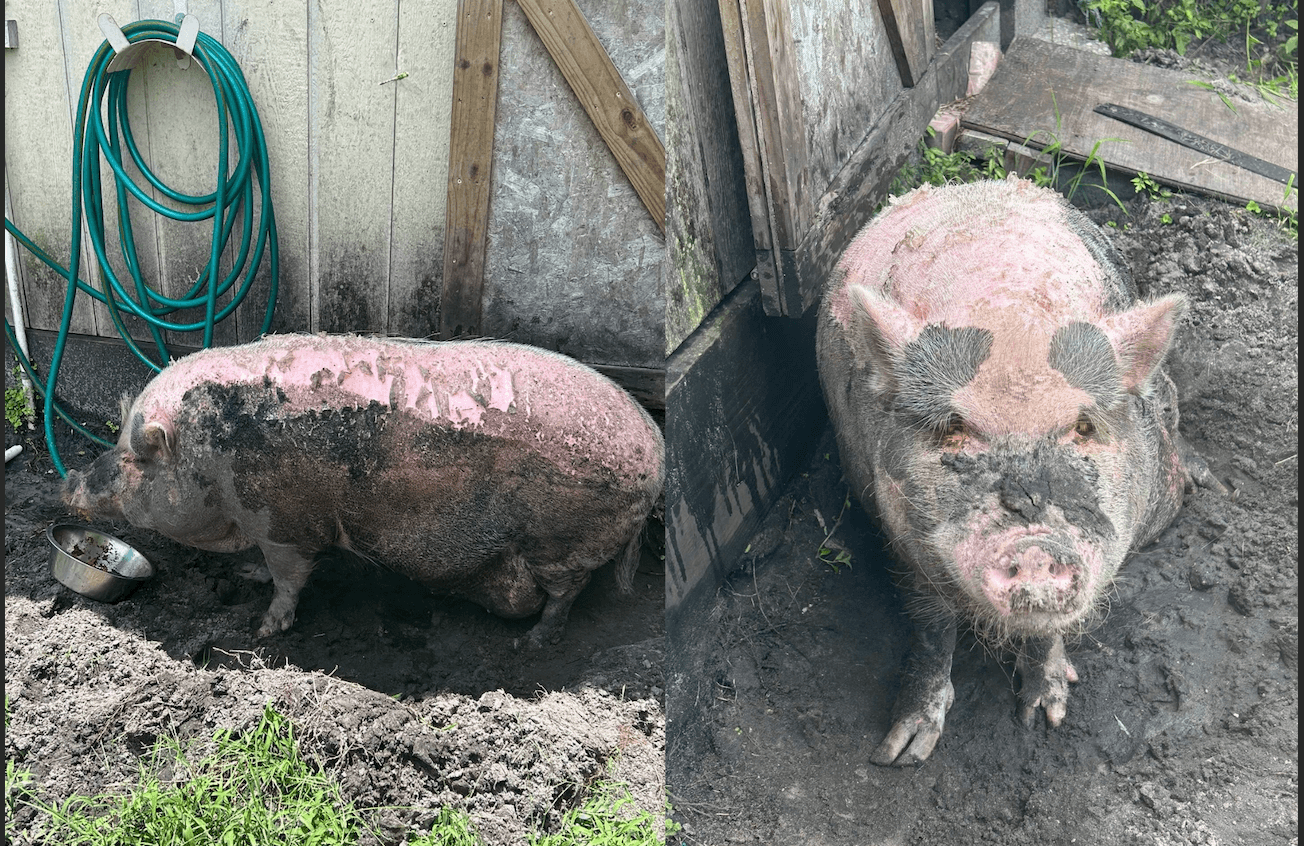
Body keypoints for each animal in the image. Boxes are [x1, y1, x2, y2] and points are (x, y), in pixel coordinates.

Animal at [63, 334, 664, 647]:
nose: (69, 482)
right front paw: (246, 576)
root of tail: (656, 450)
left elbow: (290, 578)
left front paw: (263, 631)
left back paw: (532, 642)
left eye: (137, 457)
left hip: (560, 544)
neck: (209, 464)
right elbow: (268, 569)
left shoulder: (282, 523)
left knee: (566, 593)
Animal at [816, 178, 1221, 766]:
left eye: (1082, 426)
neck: (1008, 313)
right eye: (954, 428)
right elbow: (930, 626)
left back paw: (1212, 482)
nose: (1033, 545)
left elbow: (1048, 634)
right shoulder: (895, 529)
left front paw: (1044, 720)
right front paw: (900, 753)